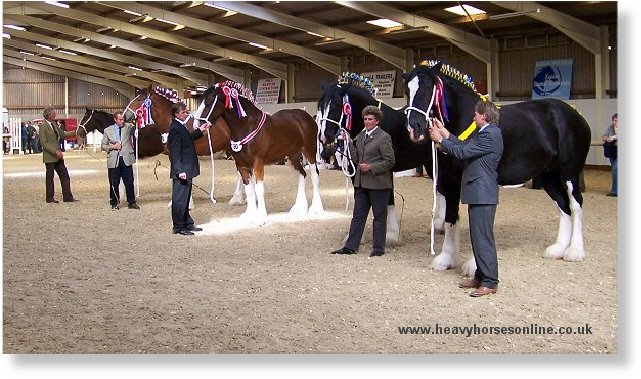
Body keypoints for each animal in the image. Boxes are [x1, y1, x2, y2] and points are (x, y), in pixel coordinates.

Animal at [191, 80, 322, 224]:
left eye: (209, 102)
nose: (196, 125)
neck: (247, 126)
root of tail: (307, 117)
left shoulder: (258, 163)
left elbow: (259, 189)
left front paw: (261, 217)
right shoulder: (241, 164)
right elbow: (249, 190)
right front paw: (250, 215)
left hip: (309, 152)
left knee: (314, 176)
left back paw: (316, 209)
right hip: (292, 156)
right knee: (302, 174)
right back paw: (299, 208)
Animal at [404, 62, 592, 276]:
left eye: (429, 88)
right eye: (407, 90)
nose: (415, 128)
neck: (465, 119)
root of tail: (576, 114)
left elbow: (478, 220)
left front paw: (474, 265)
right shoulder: (449, 181)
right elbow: (451, 218)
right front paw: (446, 259)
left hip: (570, 171)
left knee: (575, 204)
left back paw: (575, 251)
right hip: (548, 175)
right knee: (563, 204)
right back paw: (558, 249)